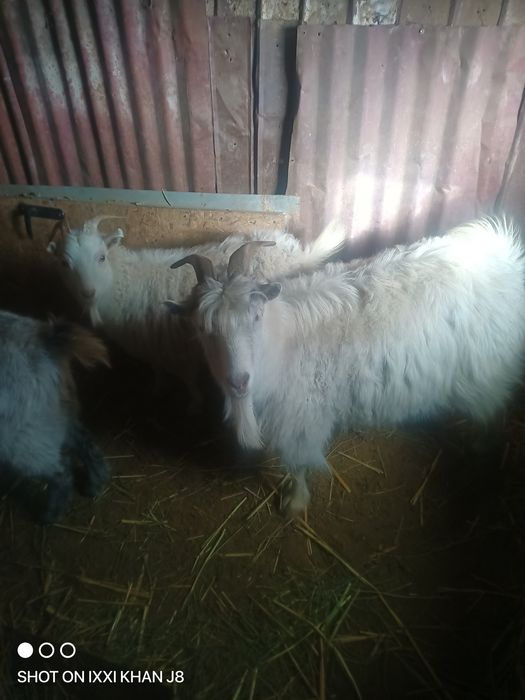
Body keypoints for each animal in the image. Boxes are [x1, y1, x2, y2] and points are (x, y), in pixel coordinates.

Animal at [0, 310, 110, 522]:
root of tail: (48, 340)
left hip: (22, 433)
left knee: (62, 471)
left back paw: (49, 515)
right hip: (52, 413)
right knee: (84, 441)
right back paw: (94, 484)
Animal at [48, 216, 344, 409]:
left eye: (101, 257)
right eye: (63, 263)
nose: (88, 293)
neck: (125, 283)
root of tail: (298, 253)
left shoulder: (176, 347)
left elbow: (188, 379)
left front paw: (194, 403)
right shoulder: (153, 345)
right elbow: (157, 369)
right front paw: (157, 389)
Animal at [166, 218, 525, 515]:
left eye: (256, 316)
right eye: (203, 329)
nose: (239, 381)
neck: (280, 341)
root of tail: (504, 256)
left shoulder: (302, 416)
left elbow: (297, 463)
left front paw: (295, 502)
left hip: (486, 367)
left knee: (491, 409)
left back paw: (481, 448)